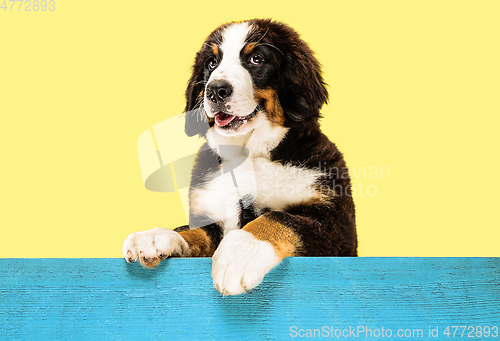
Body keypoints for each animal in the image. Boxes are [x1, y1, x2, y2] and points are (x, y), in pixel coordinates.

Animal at [123, 19, 358, 294]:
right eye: (212, 63)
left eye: (256, 59)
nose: (215, 90)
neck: (247, 153)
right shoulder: (211, 213)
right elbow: (196, 231)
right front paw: (154, 236)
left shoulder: (338, 229)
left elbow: (279, 218)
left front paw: (240, 254)